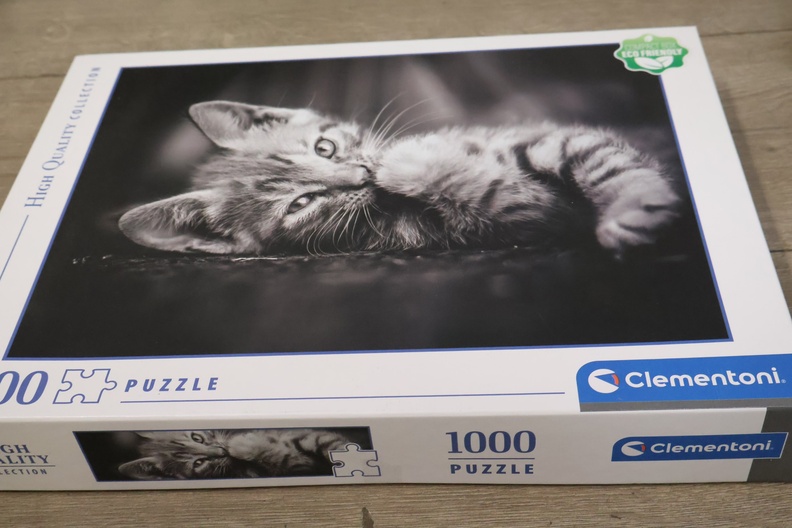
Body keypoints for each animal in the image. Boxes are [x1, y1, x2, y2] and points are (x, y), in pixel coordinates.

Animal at [118, 101, 681, 257]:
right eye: (301, 204)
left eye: (324, 147)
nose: (362, 173)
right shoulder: (521, 217)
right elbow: (496, 193)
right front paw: (414, 161)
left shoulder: (549, 137)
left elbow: (608, 163)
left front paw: (633, 207)